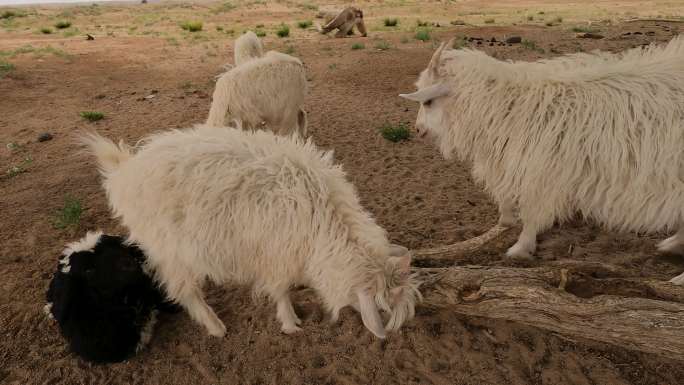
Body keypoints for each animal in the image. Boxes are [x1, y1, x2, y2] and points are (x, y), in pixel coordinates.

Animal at [83, 125, 420, 336]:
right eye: (384, 310)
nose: (388, 336)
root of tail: (123, 172)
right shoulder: (276, 254)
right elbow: (281, 290)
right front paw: (290, 323)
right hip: (167, 248)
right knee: (183, 290)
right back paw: (215, 326)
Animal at [398, 36, 684, 282]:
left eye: (428, 102)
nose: (418, 130)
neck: (510, 108)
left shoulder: (540, 174)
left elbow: (531, 214)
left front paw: (520, 249)